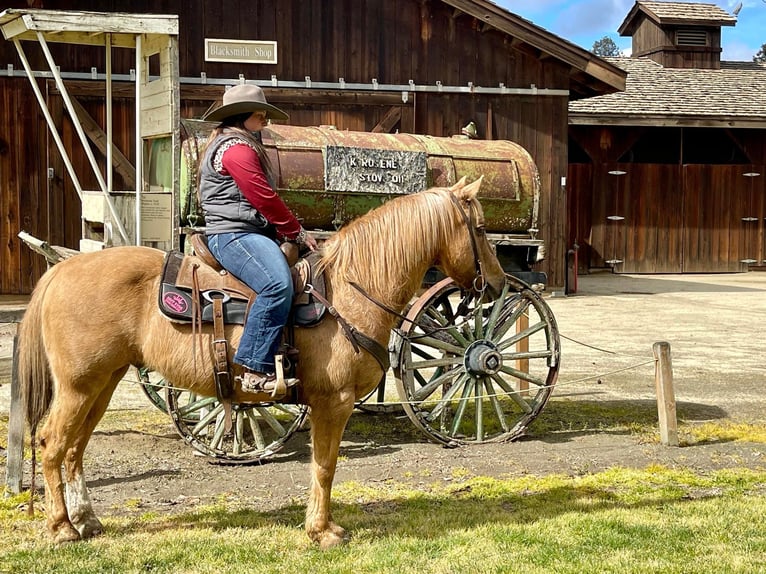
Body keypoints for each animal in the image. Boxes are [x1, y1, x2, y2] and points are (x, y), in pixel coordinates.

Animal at [16, 176, 510, 548]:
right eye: (481, 228)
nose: (499, 282)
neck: (349, 289)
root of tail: (63, 269)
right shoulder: (334, 402)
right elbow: (325, 465)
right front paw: (322, 531)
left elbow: (324, 466)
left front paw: (322, 526)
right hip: (79, 385)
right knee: (53, 443)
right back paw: (62, 527)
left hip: (101, 383)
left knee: (75, 449)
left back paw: (86, 520)